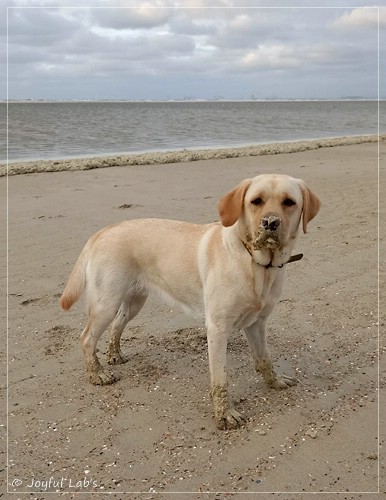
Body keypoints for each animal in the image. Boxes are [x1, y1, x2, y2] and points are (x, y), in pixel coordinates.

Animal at [60, 173, 320, 430]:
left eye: (289, 202)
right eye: (256, 201)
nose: (270, 223)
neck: (257, 264)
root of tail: (104, 230)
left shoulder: (257, 323)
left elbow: (264, 358)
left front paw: (275, 381)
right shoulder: (217, 329)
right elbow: (220, 380)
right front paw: (224, 415)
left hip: (134, 301)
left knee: (116, 326)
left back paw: (114, 355)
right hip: (107, 302)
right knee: (87, 338)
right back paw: (97, 374)